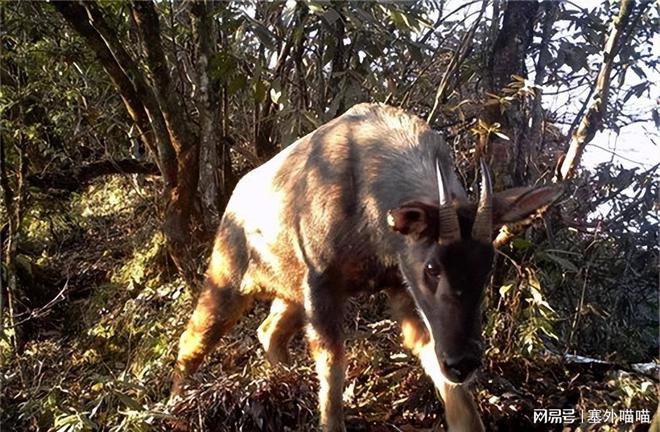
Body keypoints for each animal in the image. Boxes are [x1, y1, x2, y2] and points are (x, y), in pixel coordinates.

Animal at [171, 103, 564, 430]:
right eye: (432, 267)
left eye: (487, 267)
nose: (463, 362)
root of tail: (233, 201)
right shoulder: (321, 279)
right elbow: (333, 366)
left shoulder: (398, 284)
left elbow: (433, 362)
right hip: (228, 277)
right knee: (192, 338)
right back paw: (172, 406)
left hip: (289, 292)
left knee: (267, 331)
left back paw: (286, 382)